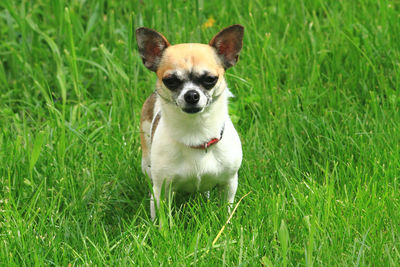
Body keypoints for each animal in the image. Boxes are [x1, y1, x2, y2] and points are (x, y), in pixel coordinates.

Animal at [137, 24, 244, 221]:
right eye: (170, 81)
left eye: (210, 79)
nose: (192, 95)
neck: (196, 132)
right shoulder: (161, 190)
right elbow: (163, 218)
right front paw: (161, 228)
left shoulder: (229, 183)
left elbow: (226, 209)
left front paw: (226, 224)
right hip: (147, 162)